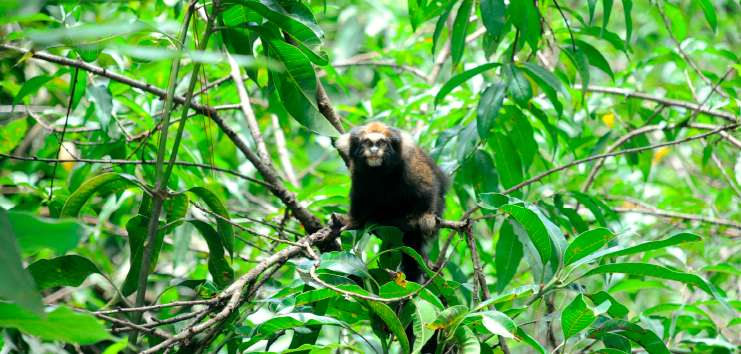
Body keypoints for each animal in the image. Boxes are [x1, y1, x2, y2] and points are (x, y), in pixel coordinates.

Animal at [332, 123, 448, 284]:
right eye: (367, 142)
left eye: (381, 143)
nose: (374, 150)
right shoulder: (358, 172)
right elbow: (359, 197)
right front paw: (352, 220)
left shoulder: (411, 164)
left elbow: (427, 187)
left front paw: (426, 217)